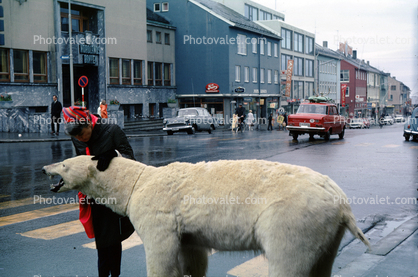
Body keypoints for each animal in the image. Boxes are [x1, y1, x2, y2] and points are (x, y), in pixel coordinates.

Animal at [42, 155, 370, 276]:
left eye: (64, 163)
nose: (44, 168)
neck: (137, 182)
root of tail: (341, 202)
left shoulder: (157, 211)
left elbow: (160, 254)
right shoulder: (187, 230)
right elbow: (193, 256)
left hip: (291, 216)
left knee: (288, 261)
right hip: (328, 228)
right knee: (322, 262)